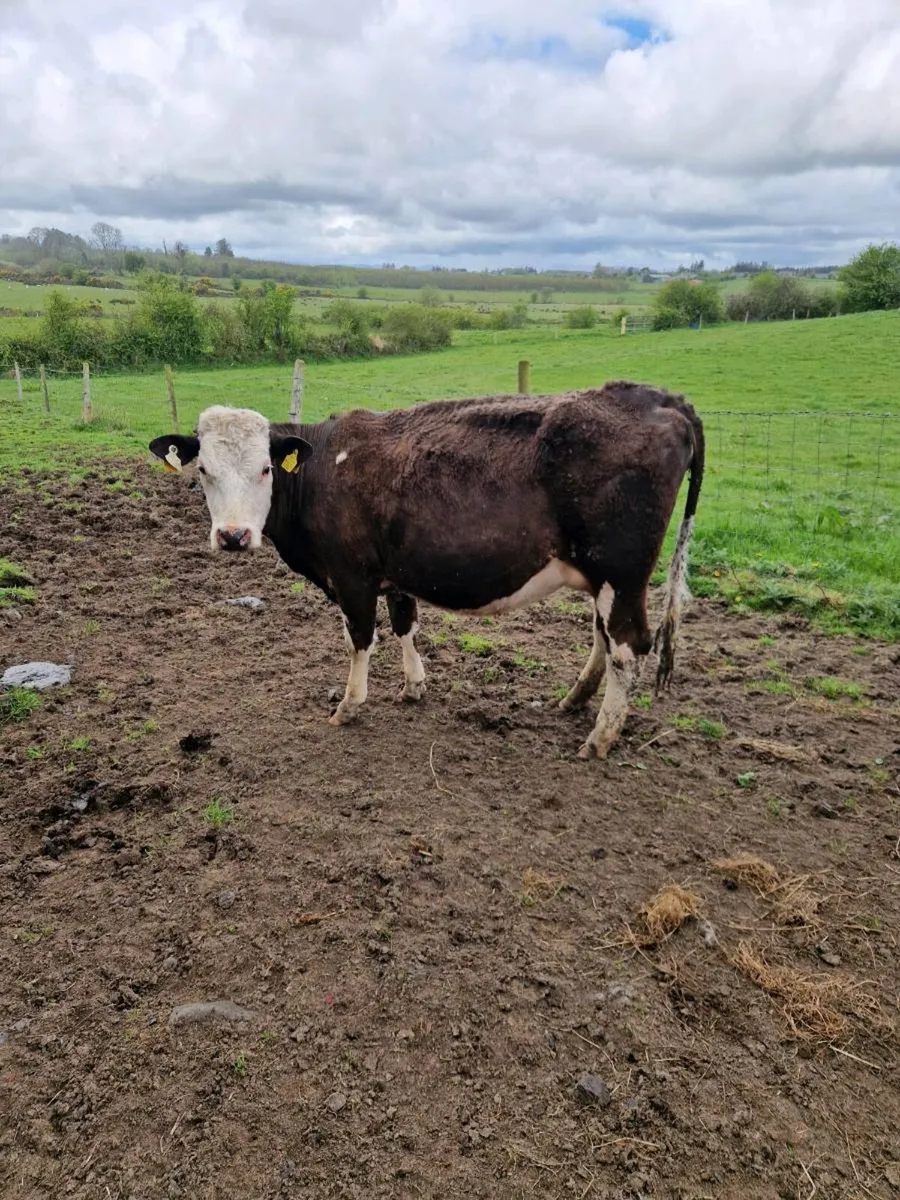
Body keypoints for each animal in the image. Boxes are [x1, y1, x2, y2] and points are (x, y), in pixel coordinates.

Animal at [149, 380, 704, 760]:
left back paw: (600, 736)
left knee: (628, 647)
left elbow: (360, 638)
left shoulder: (351, 576)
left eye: (265, 468)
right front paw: (414, 685)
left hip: (621, 572)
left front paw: (349, 705)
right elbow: (405, 624)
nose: (233, 536)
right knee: (603, 638)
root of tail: (657, 397)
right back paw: (573, 701)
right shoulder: (395, 569)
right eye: (203, 471)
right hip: (601, 576)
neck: (323, 469)